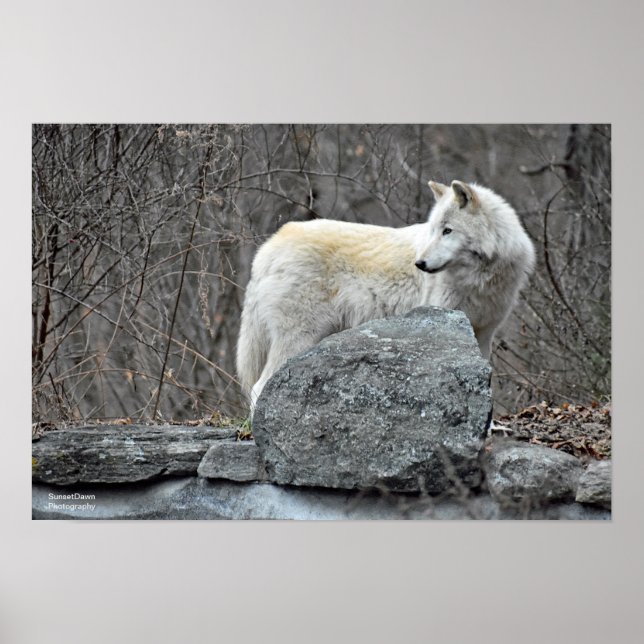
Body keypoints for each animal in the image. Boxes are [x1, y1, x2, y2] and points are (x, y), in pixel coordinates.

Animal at [237, 180, 535, 409]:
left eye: (447, 231)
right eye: (434, 231)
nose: (420, 264)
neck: (480, 278)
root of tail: (268, 247)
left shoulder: (484, 333)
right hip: (299, 338)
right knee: (258, 388)